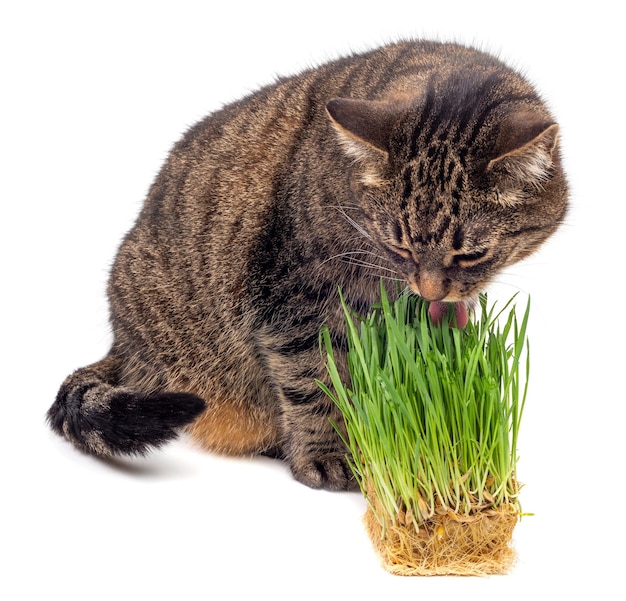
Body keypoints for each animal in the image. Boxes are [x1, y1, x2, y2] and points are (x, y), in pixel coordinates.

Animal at [47, 39, 564, 490]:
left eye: (471, 255)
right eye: (399, 247)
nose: (430, 289)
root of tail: (121, 345)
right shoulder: (294, 301)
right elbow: (315, 384)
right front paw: (326, 454)